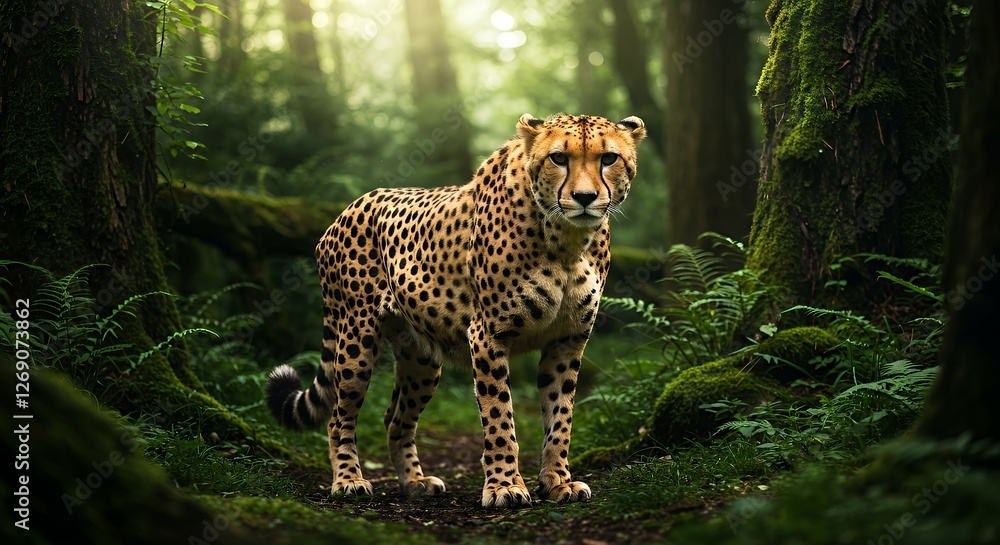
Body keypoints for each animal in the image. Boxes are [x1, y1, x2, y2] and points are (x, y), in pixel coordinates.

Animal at [265, 113, 646, 508]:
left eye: (608, 158)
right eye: (558, 158)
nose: (585, 198)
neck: (566, 241)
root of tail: (352, 206)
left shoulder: (567, 341)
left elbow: (561, 417)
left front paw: (558, 481)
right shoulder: (488, 335)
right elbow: (499, 417)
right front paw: (505, 485)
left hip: (422, 360)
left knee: (395, 419)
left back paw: (414, 481)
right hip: (356, 339)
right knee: (339, 417)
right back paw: (348, 481)